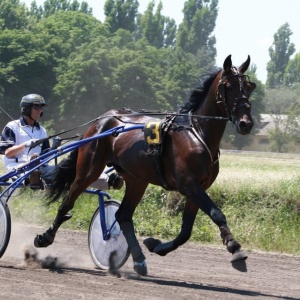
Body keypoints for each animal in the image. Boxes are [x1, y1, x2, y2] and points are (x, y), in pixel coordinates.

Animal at [34, 55, 255, 276]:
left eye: (249, 86)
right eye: (229, 86)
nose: (246, 123)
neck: (196, 133)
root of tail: (100, 121)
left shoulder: (199, 186)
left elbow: (185, 231)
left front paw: (156, 245)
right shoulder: (188, 184)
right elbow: (216, 213)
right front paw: (234, 247)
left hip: (136, 180)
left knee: (123, 216)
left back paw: (139, 259)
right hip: (89, 170)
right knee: (67, 202)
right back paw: (45, 237)